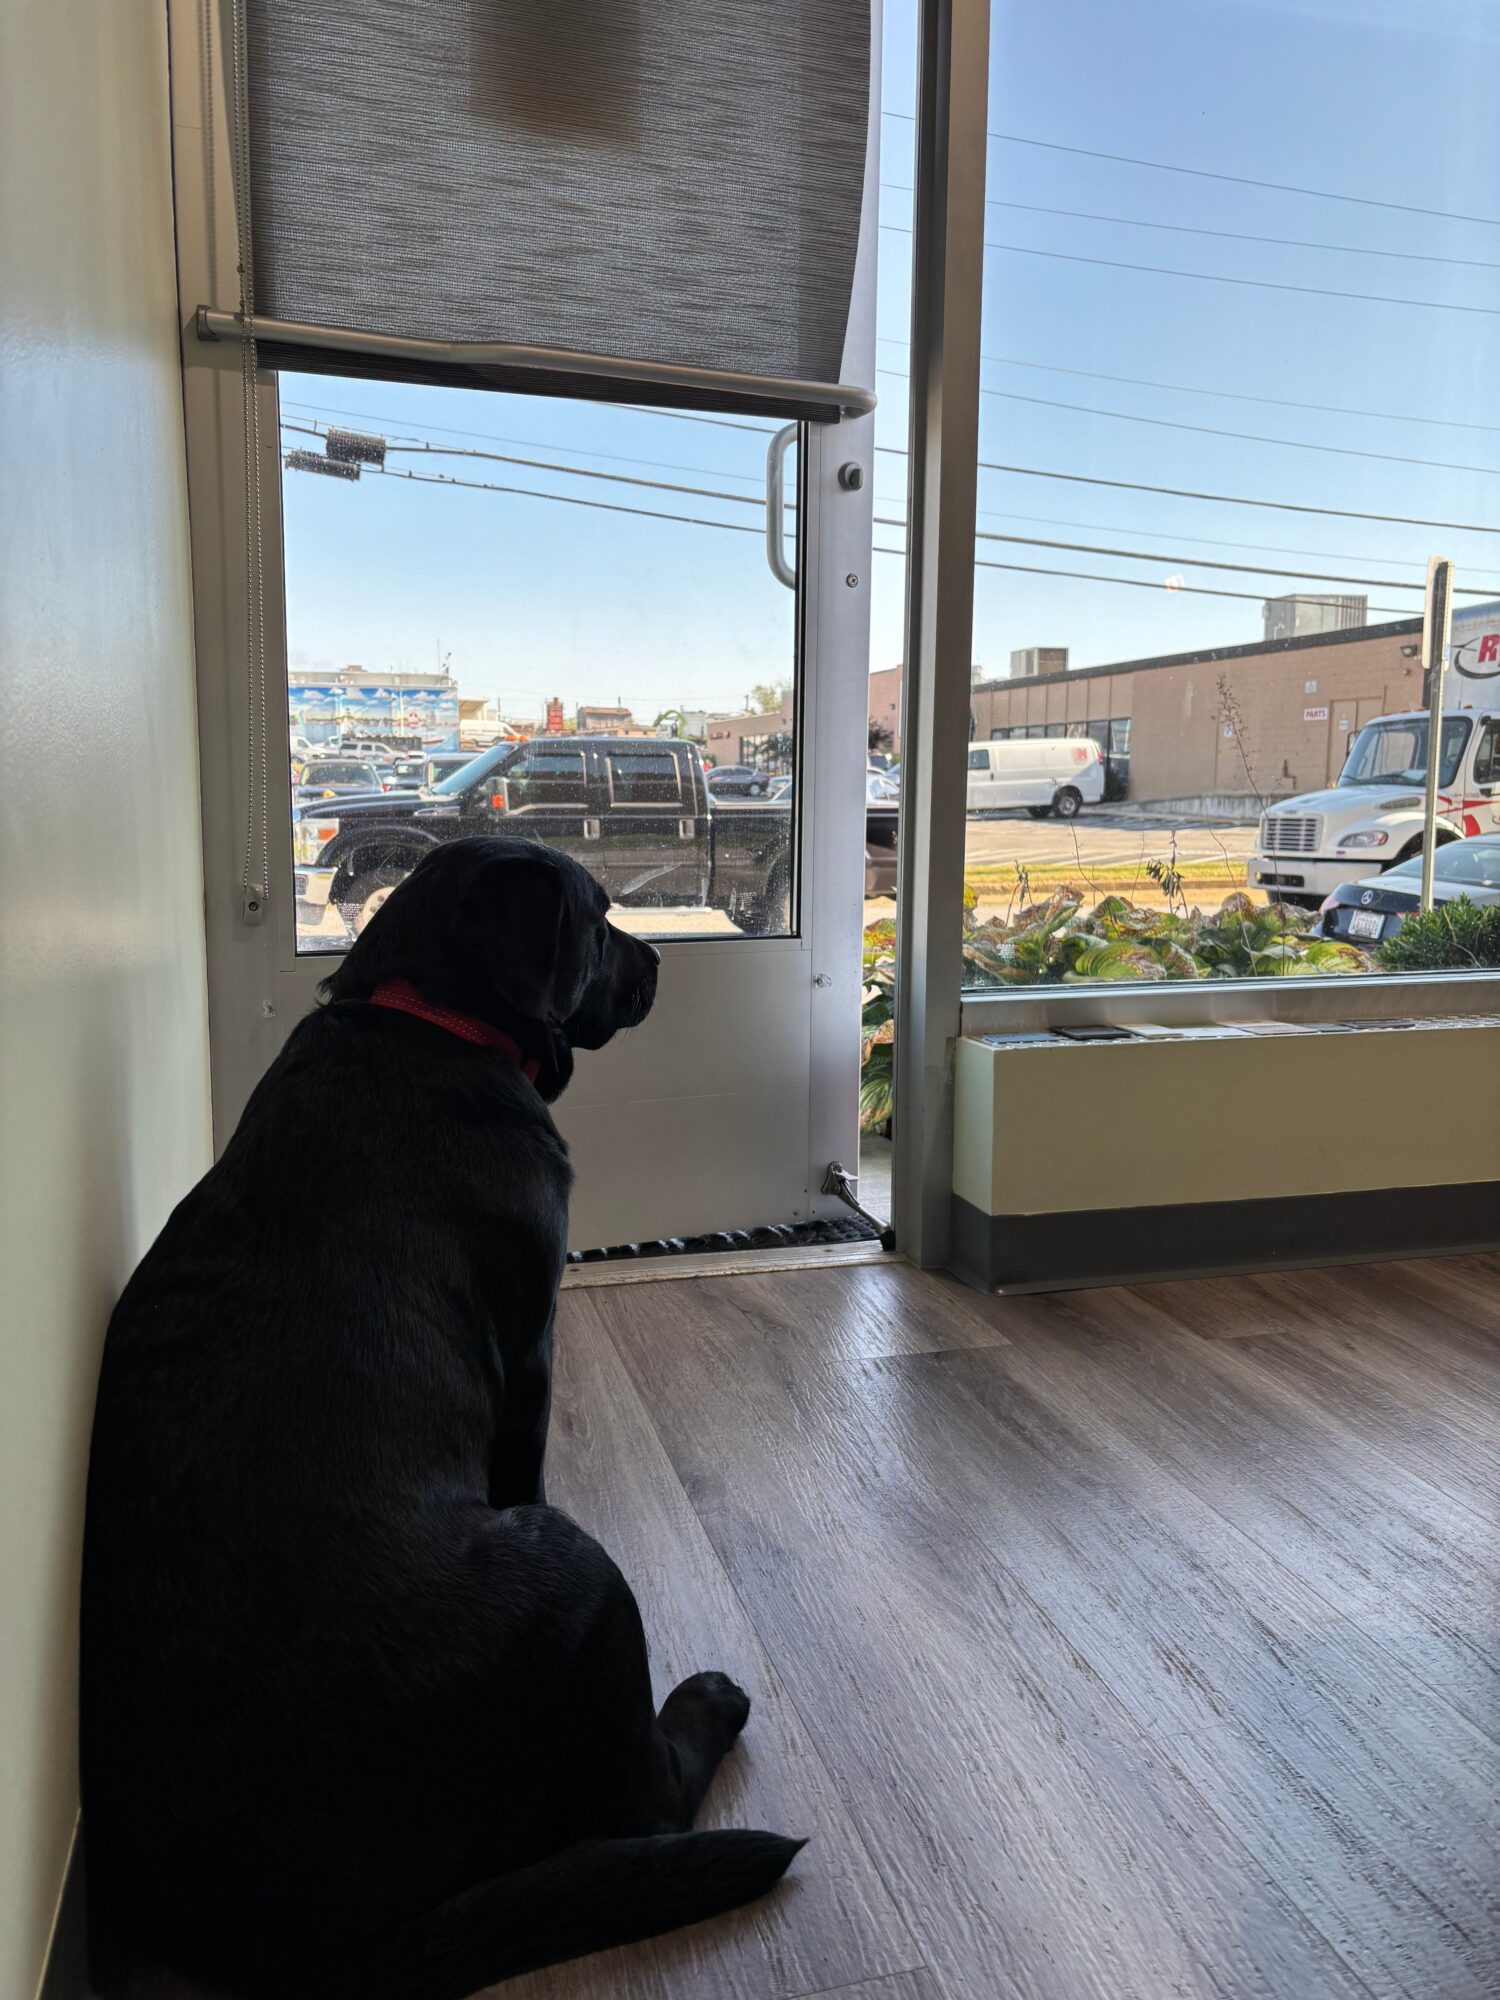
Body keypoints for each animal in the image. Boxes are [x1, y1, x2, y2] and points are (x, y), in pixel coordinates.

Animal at [80, 836, 800, 2000]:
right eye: (597, 917)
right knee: (640, 1803)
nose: (658, 963)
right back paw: (707, 1700)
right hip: (576, 1569)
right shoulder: (533, 1342)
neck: (430, 1014)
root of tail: (318, 1948)